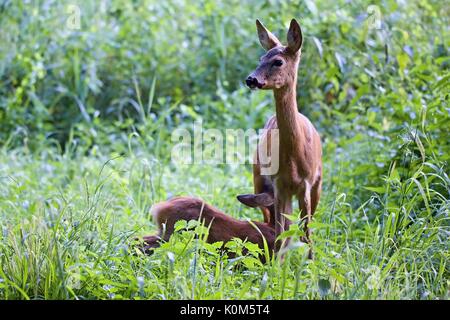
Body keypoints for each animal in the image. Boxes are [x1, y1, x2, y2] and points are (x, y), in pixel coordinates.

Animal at [237, 18, 322, 258]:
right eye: (260, 59)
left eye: (278, 61)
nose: (251, 79)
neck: (293, 156)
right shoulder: (279, 185)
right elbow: (281, 235)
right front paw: (276, 265)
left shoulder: (306, 184)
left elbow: (306, 233)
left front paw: (311, 264)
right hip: (258, 179)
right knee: (274, 223)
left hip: (317, 185)